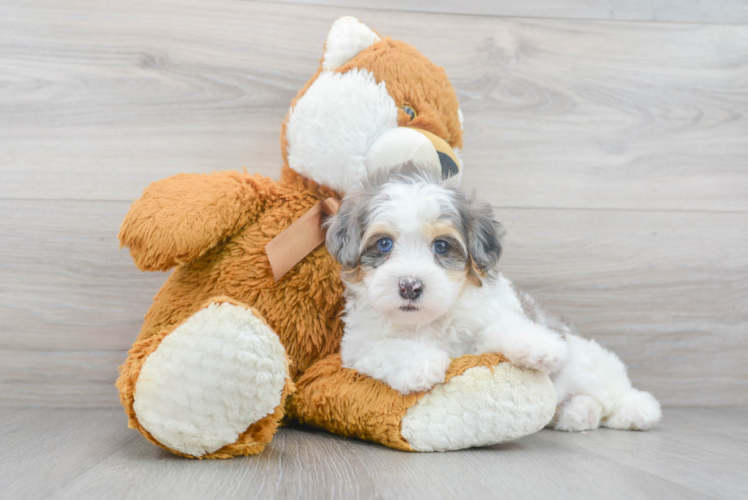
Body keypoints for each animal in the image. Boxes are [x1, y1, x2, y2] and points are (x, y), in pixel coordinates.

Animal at [328, 164, 660, 430]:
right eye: (384, 244)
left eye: (441, 246)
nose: (410, 286)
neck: (429, 321)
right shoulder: (357, 346)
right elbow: (385, 348)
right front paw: (419, 363)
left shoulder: (487, 318)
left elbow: (502, 327)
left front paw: (537, 345)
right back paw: (579, 413)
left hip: (591, 364)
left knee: (612, 389)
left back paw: (638, 410)